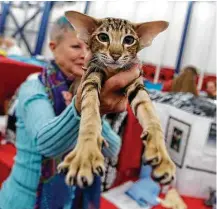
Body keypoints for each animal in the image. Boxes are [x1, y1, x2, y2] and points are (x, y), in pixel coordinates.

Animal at [57, 10, 176, 188]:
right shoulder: (91, 74)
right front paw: (85, 156)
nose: (115, 55)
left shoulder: (136, 82)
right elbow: (90, 115)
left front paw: (161, 155)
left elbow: (151, 116)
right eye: (103, 37)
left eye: (129, 40)